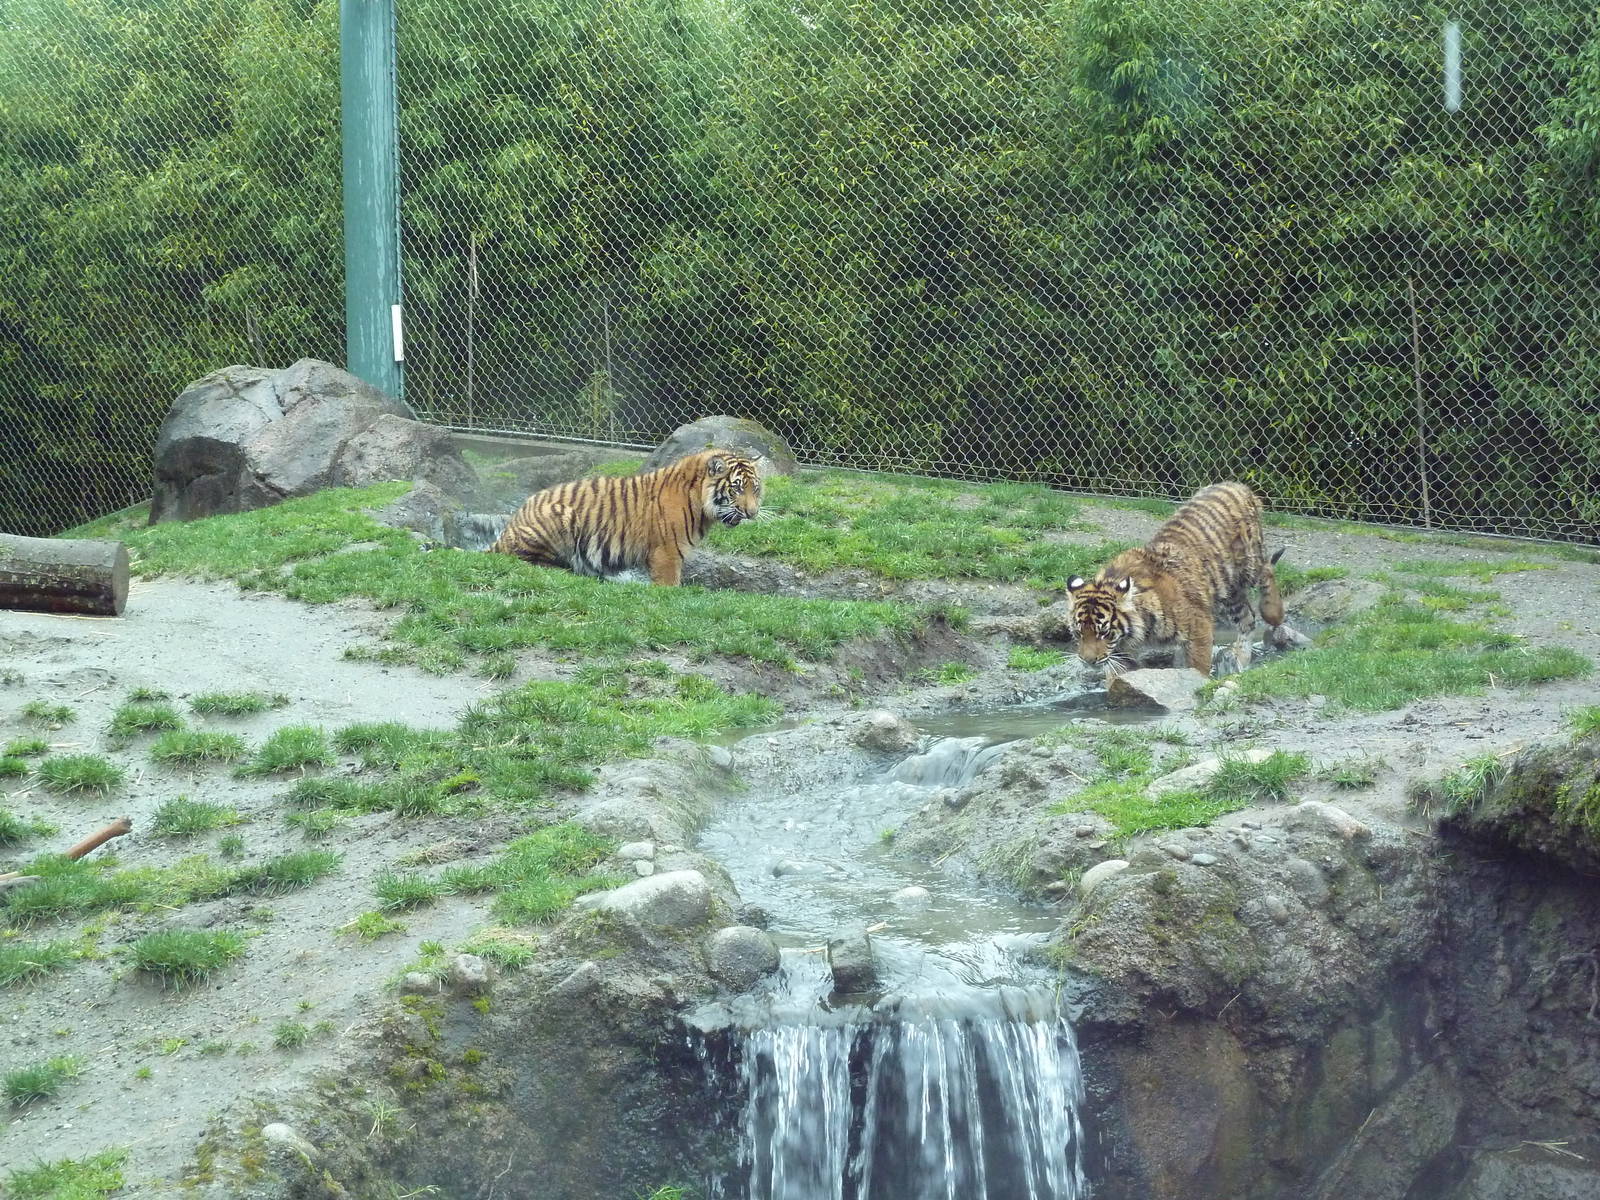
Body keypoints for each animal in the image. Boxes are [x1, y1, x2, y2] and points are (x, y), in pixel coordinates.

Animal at [486, 449, 762, 586]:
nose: (753, 513)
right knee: (523, 561)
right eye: (736, 488)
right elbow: (669, 584)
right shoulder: (667, 552)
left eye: (755, 489)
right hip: (559, 516)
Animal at [1066, 481, 1285, 677]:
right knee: (1248, 618)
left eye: (1104, 633)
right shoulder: (1121, 653)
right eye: (1078, 633)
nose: (1088, 661)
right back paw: (1241, 659)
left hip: (1247, 565)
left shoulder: (1199, 627)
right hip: (1228, 592)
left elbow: (1198, 666)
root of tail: (1238, 485)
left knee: (1267, 570)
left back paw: (1273, 613)